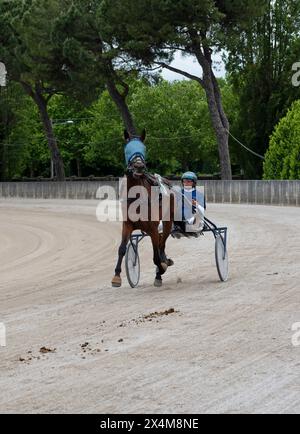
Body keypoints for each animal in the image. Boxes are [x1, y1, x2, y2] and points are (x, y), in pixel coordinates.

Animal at [111, 131, 175, 290]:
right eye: (128, 148)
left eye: (143, 148)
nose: (139, 166)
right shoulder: (127, 224)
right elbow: (122, 248)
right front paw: (116, 276)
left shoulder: (152, 227)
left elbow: (156, 257)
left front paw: (161, 269)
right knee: (160, 244)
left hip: (167, 222)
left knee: (162, 243)